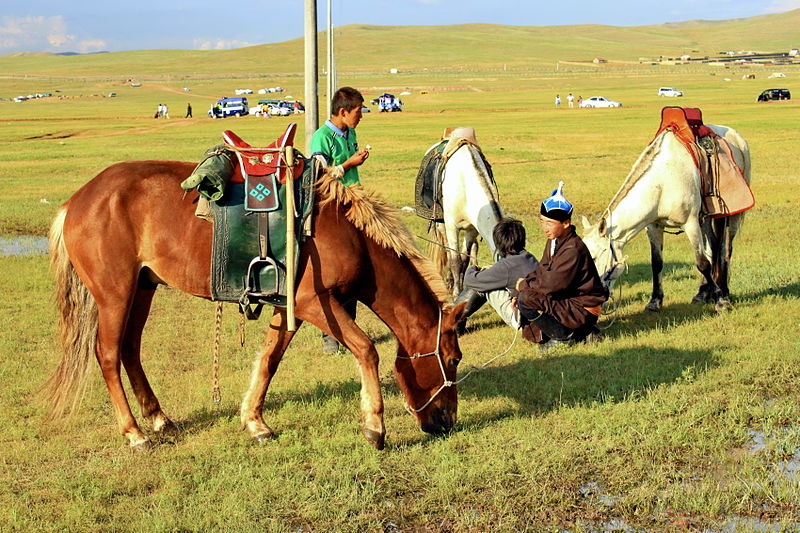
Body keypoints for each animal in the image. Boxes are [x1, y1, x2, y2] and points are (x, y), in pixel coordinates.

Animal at [47, 161, 466, 448]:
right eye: (454, 359)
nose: (447, 422)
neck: (348, 234)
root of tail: (77, 201)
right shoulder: (314, 302)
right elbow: (365, 349)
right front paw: (374, 426)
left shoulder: (289, 306)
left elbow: (269, 359)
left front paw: (254, 421)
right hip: (115, 295)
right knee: (107, 354)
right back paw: (134, 432)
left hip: (143, 287)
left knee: (130, 350)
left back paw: (159, 418)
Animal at [428, 138, 504, 296]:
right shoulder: (452, 227)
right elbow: (455, 260)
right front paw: (456, 292)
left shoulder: (472, 229)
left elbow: (464, 259)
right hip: (441, 224)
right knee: (447, 251)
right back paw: (449, 281)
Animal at [580, 123, 752, 312]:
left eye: (593, 258)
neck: (662, 184)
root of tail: (737, 137)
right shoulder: (654, 226)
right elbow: (657, 263)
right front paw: (655, 301)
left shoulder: (691, 223)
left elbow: (702, 263)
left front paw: (720, 301)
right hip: (705, 219)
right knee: (713, 247)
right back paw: (703, 293)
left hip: (729, 215)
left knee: (724, 250)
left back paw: (724, 292)